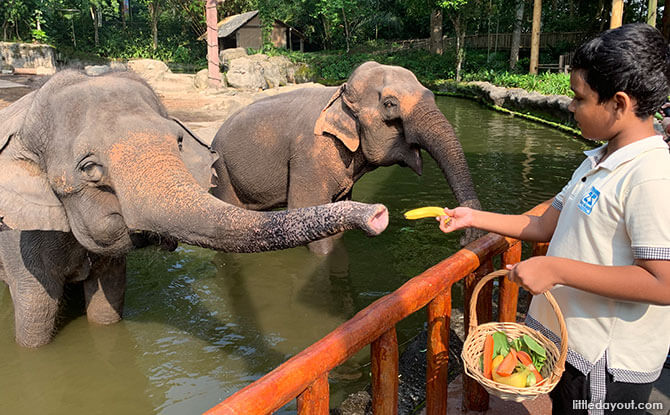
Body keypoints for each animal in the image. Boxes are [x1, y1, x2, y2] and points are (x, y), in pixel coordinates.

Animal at [0, 70, 388, 348]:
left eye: (178, 143)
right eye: (89, 168)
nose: (378, 214)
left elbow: (108, 301)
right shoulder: (17, 235)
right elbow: (36, 311)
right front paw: (31, 348)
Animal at [213, 60, 480, 255]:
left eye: (432, 95)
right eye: (390, 104)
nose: (465, 239)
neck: (338, 93)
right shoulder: (309, 156)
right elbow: (305, 210)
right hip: (222, 172)